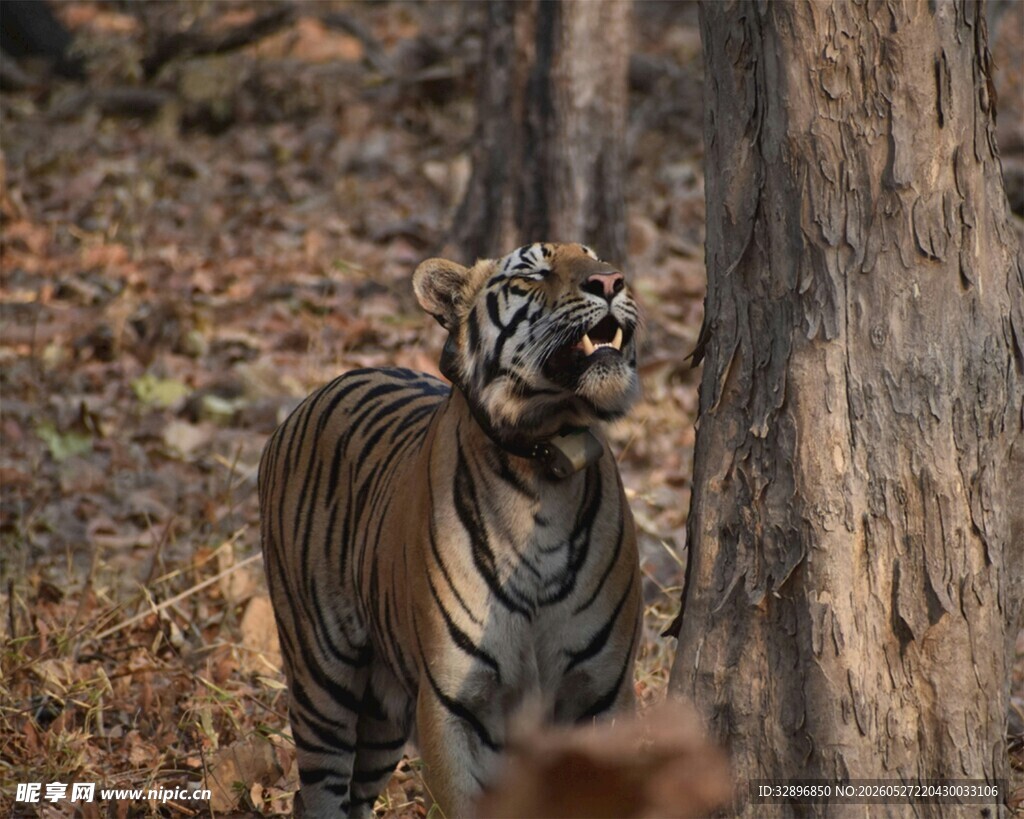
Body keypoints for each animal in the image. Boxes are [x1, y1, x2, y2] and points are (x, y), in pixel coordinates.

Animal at [258, 242, 643, 818]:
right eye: (533, 273)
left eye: (594, 256)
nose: (611, 281)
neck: (543, 464)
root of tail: (313, 395)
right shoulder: (454, 704)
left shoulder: (606, 693)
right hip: (321, 678)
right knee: (320, 791)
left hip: (382, 716)